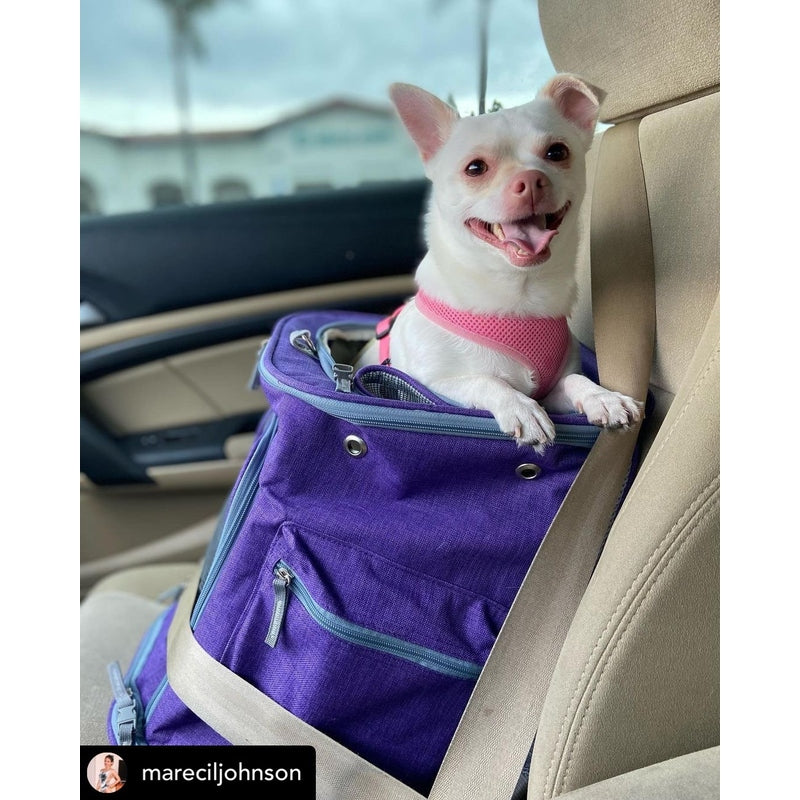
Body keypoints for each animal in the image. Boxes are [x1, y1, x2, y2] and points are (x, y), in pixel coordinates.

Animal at [357, 74, 643, 450]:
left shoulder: (552, 388)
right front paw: (520, 407)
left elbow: (574, 381)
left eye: (557, 152)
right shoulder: (433, 385)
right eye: (475, 168)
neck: (519, 296)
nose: (532, 179)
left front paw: (602, 397)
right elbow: (487, 381)